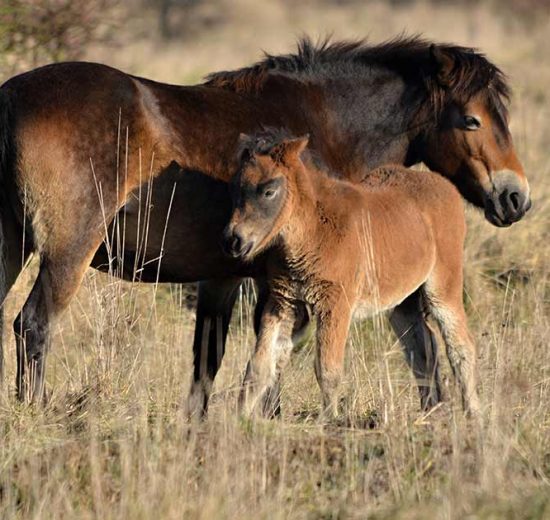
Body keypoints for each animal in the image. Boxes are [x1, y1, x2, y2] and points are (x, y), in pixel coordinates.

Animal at [224, 131, 484, 418]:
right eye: (235, 189)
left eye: (269, 191)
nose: (233, 240)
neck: (313, 227)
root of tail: (447, 188)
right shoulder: (283, 302)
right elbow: (259, 367)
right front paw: (238, 419)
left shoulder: (335, 304)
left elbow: (327, 368)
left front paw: (331, 420)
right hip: (401, 303)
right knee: (423, 347)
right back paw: (432, 411)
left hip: (443, 290)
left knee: (460, 346)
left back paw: (473, 413)